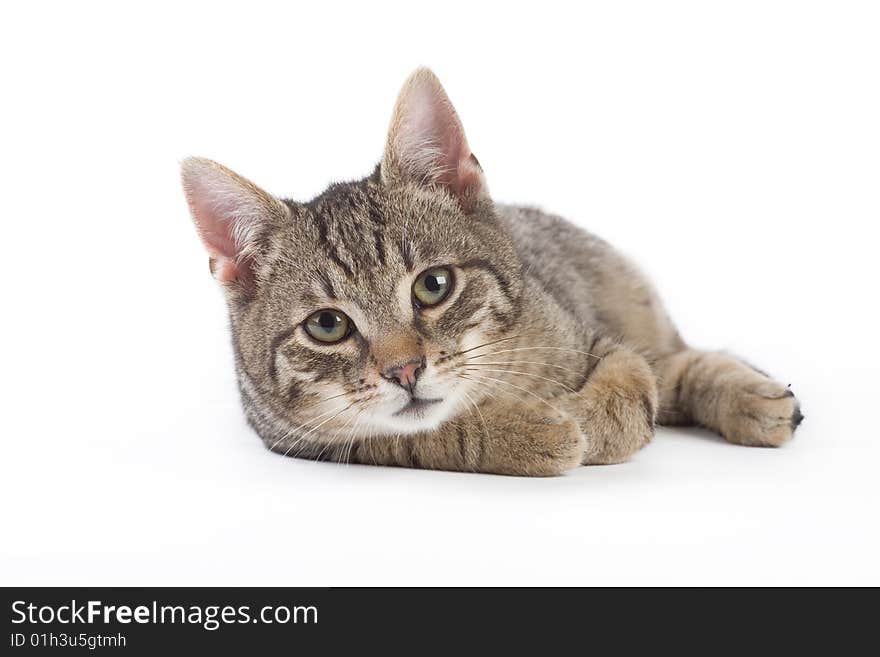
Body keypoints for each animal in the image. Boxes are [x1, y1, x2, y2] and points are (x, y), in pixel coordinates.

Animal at [180, 68, 804, 476]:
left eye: (433, 285)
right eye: (327, 326)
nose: (404, 371)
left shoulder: (590, 337)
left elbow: (630, 386)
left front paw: (590, 419)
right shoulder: (314, 443)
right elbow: (435, 436)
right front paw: (531, 433)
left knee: (672, 361)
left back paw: (752, 395)